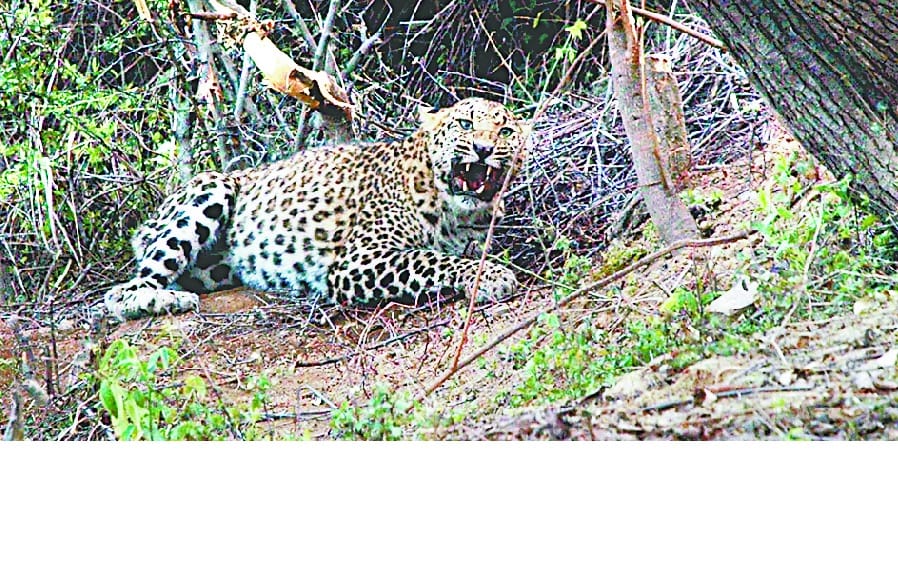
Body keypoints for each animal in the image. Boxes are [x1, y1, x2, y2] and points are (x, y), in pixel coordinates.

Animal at [103, 97, 531, 320]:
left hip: (215, 270)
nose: (484, 149)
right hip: (210, 189)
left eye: (505, 131)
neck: (460, 212)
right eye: (464, 124)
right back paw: (165, 301)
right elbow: (433, 260)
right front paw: (493, 275)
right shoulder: (359, 259)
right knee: (122, 292)